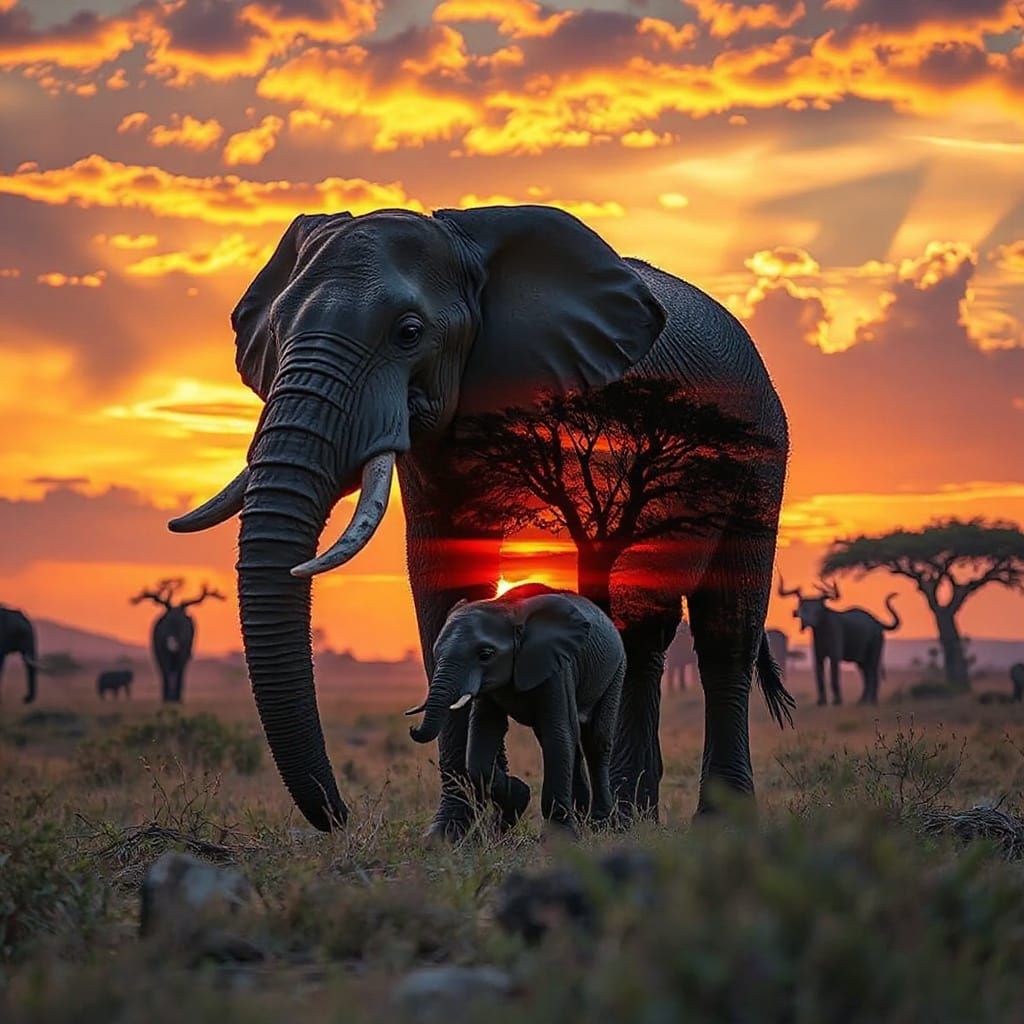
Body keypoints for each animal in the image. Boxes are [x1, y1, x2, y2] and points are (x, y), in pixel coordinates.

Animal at [406, 584, 625, 832]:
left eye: (485, 654)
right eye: (436, 653)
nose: (413, 729)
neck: (508, 608)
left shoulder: (557, 667)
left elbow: (557, 733)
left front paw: (560, 836)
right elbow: (483, 737)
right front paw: (520, 795)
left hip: (616, 669)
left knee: (595, 741)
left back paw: (601, 823)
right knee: (574, 744)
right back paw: (581, 816)